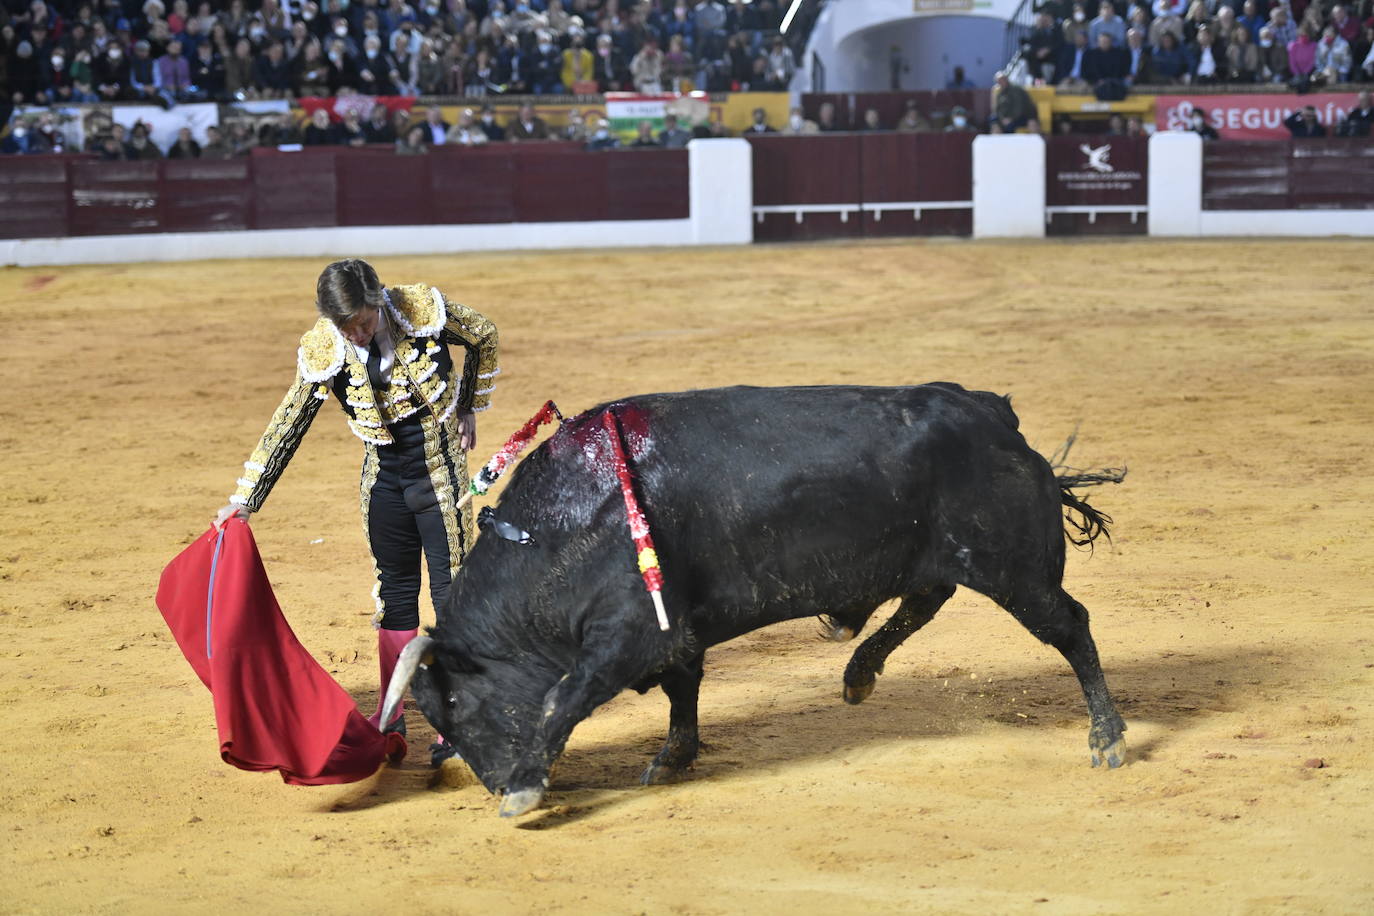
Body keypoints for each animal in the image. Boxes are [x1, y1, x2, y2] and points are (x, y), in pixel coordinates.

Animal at [384, 384, 1126, 818]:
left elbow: (563, 697)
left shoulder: (629, 634)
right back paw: (858, 671)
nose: (497, 783)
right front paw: (672, 757)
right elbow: (682, 687)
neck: (556, 533)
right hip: (951, 558)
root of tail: (993, 412)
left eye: (452, 706)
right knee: (926, 597)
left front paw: (528, 787)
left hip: (1015, 570)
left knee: (1070, 627)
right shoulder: (673, 630)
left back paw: (1109, 737)